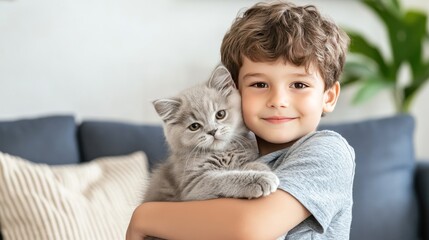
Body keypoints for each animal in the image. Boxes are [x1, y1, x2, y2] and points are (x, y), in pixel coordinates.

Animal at [142, 65, 280, 204]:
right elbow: (223, 178)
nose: (212, 131)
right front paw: (260, 178)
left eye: (220, 114)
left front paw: (259, 166)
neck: (223, 152)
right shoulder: (193, 185)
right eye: (194, 126)